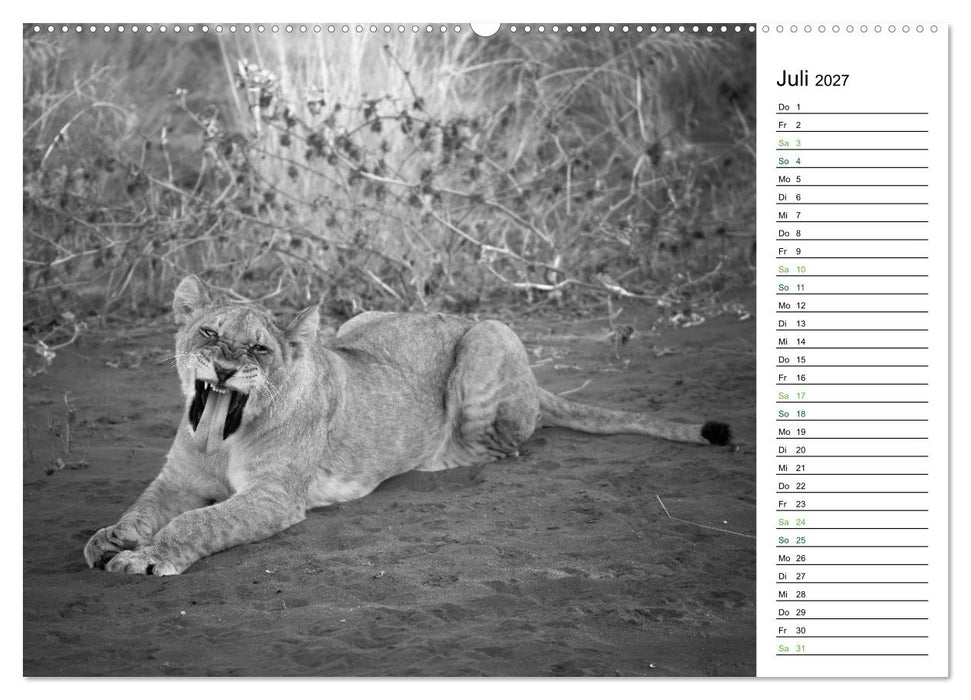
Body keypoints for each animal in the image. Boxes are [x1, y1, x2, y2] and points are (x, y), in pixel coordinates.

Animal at [84, 275, 731, 575]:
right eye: (209, 333)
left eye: (260, 349)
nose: (222, 368)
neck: (220, 440)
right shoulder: (177, 478)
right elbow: (145, 507)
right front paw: (111, 538)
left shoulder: (274, 497)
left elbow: (201, 521)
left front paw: (145, 557)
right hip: (359, 322)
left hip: (486, 335)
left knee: (503, 446)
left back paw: (440, 457)